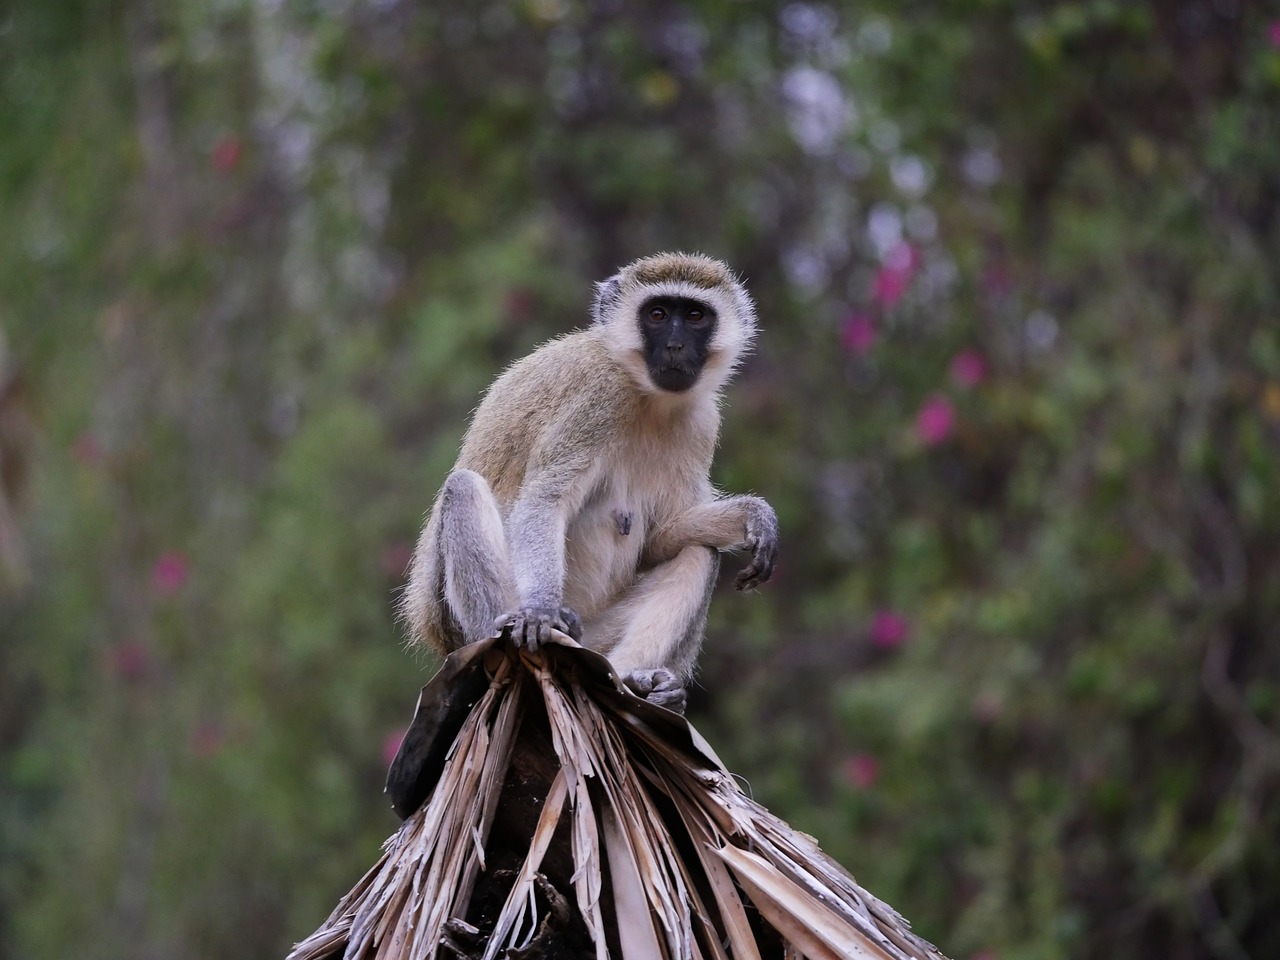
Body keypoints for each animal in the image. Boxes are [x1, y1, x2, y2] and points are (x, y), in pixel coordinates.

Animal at [401, 253, 778, 716]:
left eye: (694, 316)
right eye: (656, 315)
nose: (674, 346)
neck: (644, 395)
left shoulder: (702, 422)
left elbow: (661, 538)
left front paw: (750, 515)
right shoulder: (598, 397)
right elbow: (546, 499)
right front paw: (540, 610)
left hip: (596, 637)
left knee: (698, 552)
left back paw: (638, 683)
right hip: (464, 628)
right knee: (463, 490)